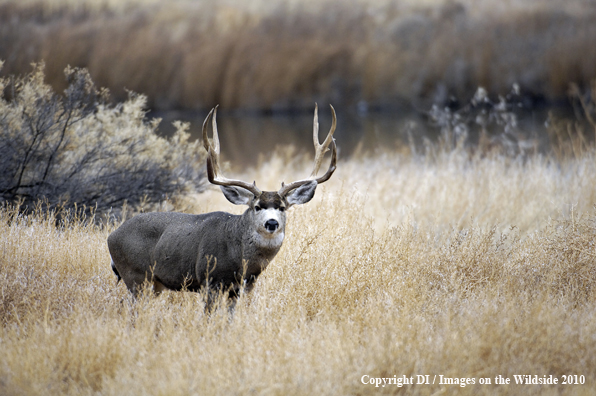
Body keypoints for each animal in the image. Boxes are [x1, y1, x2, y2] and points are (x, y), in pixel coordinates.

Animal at [107, 105, 338, 296]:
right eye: (257, 207)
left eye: (282, 207)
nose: (271, 223)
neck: (240, 256)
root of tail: (111, 236)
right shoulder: (210, 279)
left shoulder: (244, 286)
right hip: (136, 276)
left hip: (154, 284)